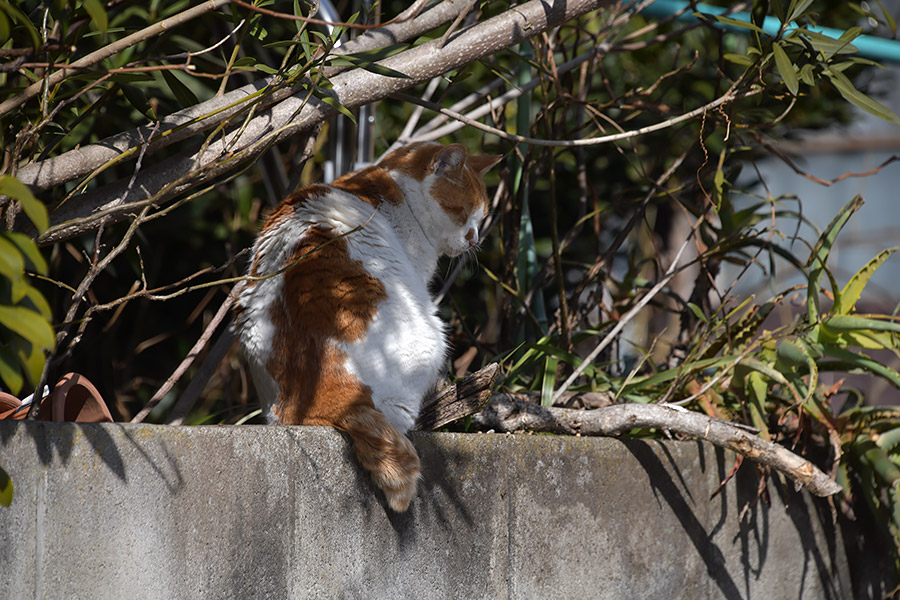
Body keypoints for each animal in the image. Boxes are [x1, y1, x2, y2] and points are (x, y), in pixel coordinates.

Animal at [234, 142, 500, 510]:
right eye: (462, 212)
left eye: (481, 216)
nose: (474, 240)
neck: (393, 187)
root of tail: (325, 397)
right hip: (431, 336)